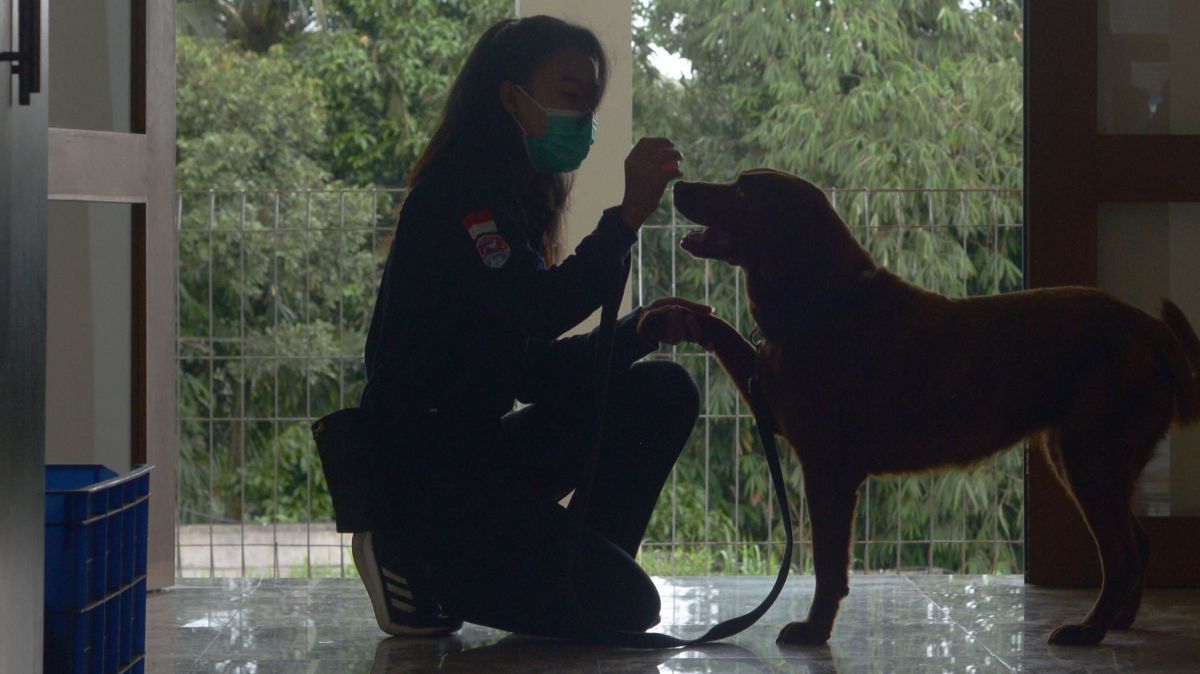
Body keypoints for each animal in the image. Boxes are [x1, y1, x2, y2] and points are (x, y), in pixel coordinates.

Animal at [633, 167, 1195, 647]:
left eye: (745, 190)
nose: (679, 184)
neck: (820, 300)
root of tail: (1156, 334)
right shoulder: (770, 394)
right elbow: (722, 331)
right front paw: (666, 315)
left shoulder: (828, 469)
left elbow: (829, 566)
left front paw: (814, 631)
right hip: (1083, 457)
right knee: (1137, 544)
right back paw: (1118, 620)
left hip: (1089, 457)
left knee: (1122, 554)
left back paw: (1088, 631)